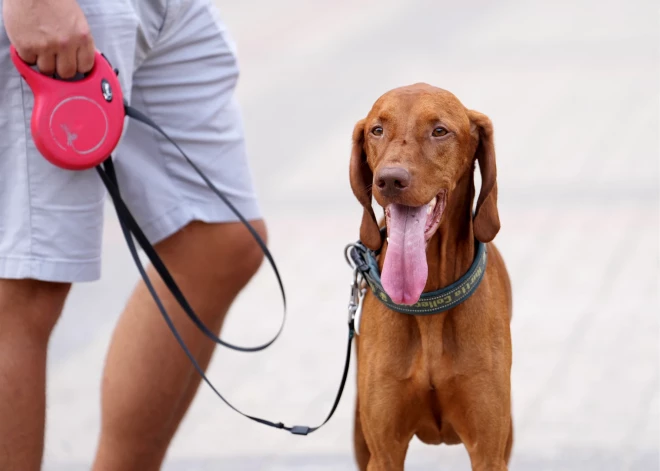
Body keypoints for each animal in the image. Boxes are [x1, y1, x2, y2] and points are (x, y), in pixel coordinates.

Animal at [348, 83, 512, 470]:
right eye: (377, 130)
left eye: (439, 130)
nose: (390, 179)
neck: (429, 301)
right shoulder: (384, 452)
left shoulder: (489, 451)